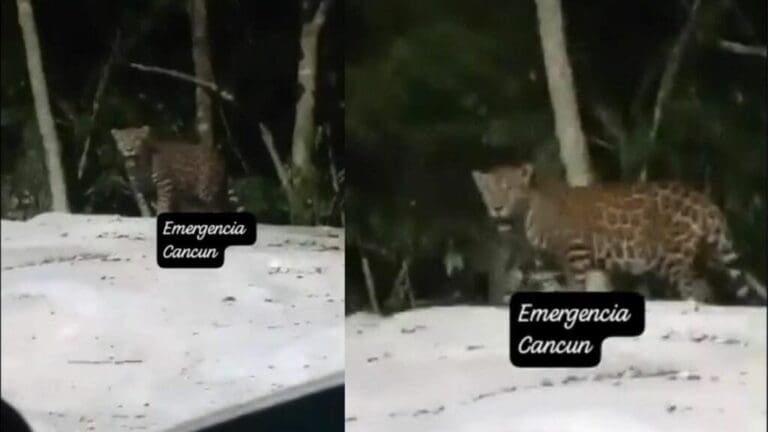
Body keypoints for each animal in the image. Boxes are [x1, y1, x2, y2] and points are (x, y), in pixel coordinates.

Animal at [111, 125, 242, 214]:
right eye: (122, 141)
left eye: (137, 140)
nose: (129, 149)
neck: (138, 166)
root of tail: (218, 155)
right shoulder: (139, 188)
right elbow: (143, 205)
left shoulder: (164, 183)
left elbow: (163, 202)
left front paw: (160, 212)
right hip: (192, 197)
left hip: (208, 189)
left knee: (218, 207)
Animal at [472, 163, 766, 303]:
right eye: (488, 191)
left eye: (509, 189)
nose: (496, 207)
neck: (526, 215)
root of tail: (706, 202)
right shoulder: (543, 259)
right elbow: (531, 277)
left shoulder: (574, 250)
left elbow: (574, 283)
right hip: (700, 256)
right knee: (705, 288)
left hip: (674, 257)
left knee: (691, 288)